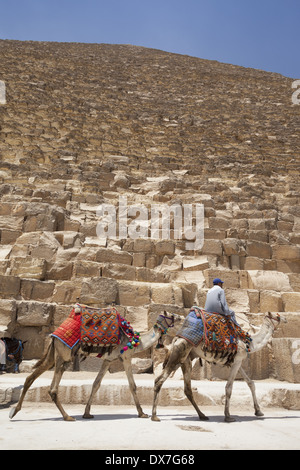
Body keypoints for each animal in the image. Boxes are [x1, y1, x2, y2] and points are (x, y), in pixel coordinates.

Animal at [9, 308, 183, 422]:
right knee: (52, 388)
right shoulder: (125, 356)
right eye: (175, 317)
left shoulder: (108, 360)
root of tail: (54, 335)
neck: (134, 341)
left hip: (54, 353)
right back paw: (67, 416)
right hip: (63, 354)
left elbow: (96, 384)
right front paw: (142, 413)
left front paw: (87, 413)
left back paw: (14, 411)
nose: (184, 317)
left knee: (30, 378)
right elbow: (132, 385)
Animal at [152, 312, 286, 422]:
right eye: (277, 315)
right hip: (179, 354)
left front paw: (258, 411)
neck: (250, 343)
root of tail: (176, 339)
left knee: (187, 389)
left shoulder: (236, 362)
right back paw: (154, 416)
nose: (285, 319)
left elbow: (250, 383)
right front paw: (228, 416)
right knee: (159, 380)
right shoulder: (237, 361)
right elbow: (229, 387)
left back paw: (202, 415)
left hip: (185, 360)